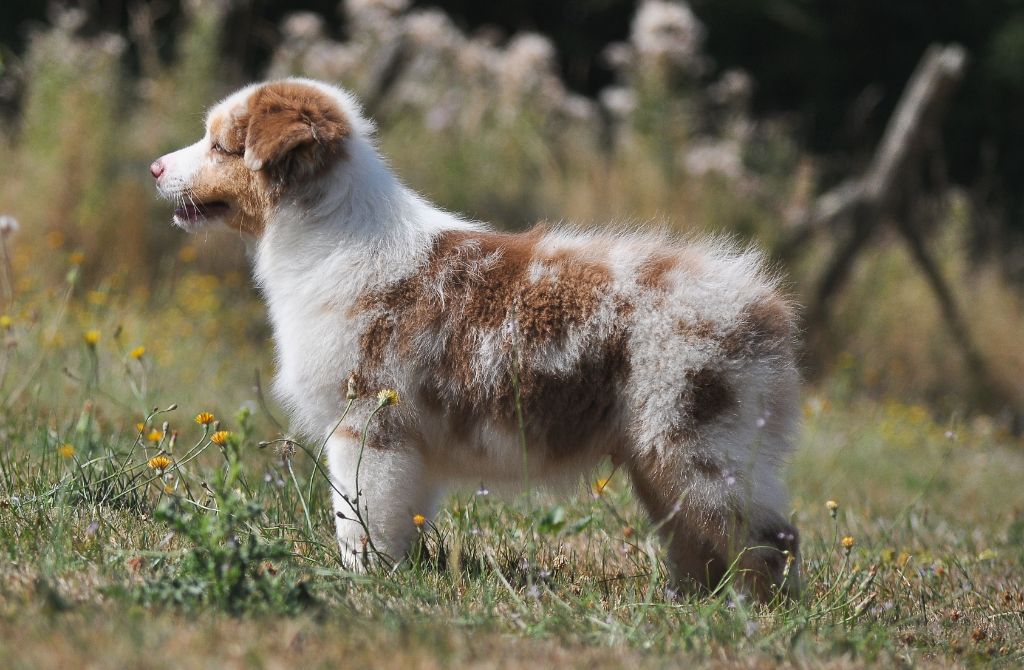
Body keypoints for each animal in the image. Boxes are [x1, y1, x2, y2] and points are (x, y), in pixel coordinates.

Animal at [151, 79, 801, 601]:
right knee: (700, 539)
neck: (328, 234)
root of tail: (766, 305)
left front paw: (360, 583)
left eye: (221, 145)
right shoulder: (405, 447)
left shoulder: (368, 426)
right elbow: (398, 520)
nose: (154, 168)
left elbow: (361, 519)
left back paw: (753, 616)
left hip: (701, 446)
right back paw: (690, 601)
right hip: (662, 458)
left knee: (770, 538)